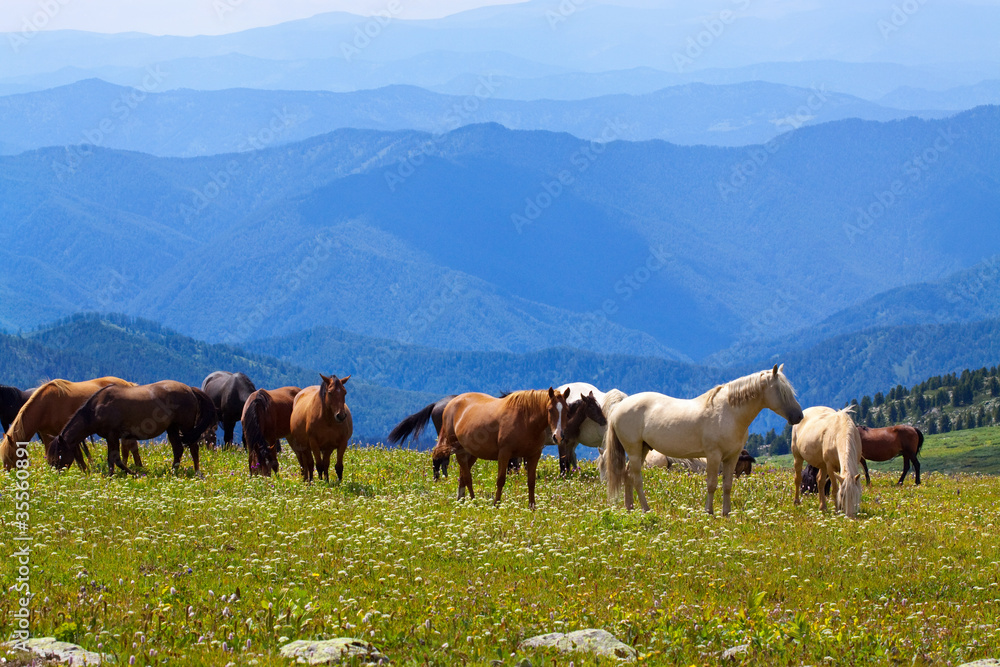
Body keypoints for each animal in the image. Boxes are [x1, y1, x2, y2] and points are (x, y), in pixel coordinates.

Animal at [2, 377, 141, 471]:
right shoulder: (47, 436)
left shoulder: (69, 435)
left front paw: (86, 472)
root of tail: (128, 384)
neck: (46, 406)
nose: (9, 473)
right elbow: (49, 453)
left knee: (131, 446)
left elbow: (78, 456)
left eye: (11, 456)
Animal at [48, 381, 217, 475]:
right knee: (178, 449)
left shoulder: (112, 435)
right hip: (172, 428)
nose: (56, 473)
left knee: (193, 447)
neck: (96, 409)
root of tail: (190, 389)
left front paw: (131, 473)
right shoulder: (112, 437)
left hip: (186, 426)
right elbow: (112, 459)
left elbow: (115, 459)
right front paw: (112, 476)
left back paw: (197, 472)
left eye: (59, 454)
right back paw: (173, 472)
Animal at [431, 388, 571, 509]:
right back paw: (473, 501)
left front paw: (532, 507)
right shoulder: (504, 454)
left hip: (472, 453)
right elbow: (501, 480)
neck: (525, 420)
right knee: (467, 477)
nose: (558, 436)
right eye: (550, 409)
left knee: (463, 475)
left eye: (567, 410)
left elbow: (531, 481)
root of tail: (450, 405)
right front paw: (496, 505)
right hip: (459, 451)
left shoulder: (534, 455)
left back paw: (461, 501)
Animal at [602, 364, 803, 515]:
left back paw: (630, 508)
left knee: (627, 475)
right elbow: (712, 484)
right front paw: (709, 511)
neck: (730, 413)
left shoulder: (732, 457)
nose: (799, 416)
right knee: (636, 478)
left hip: (643, 449)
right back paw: (646, 509)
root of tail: (620, 406)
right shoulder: (713, 456)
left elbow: (727, 485)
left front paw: (726, 513)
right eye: (781, 392)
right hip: (634, 450)